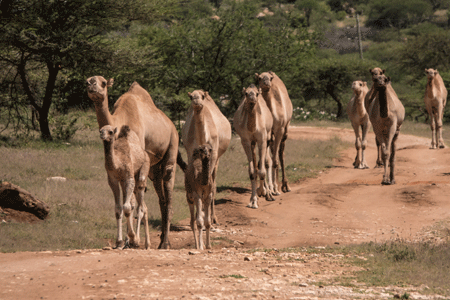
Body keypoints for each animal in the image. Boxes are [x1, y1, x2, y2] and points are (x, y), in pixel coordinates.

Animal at [86, 76, 179, 250]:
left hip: (172, 148)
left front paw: (132, 240)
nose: (91, 85)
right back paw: (161, 240)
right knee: (161, 198)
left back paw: (165, 243)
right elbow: (125, 202)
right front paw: (125, 241)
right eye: (87, 81)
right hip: (154, 169)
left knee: (168, 195)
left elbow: (132, 203)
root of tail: (172, 125)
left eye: (103, 83)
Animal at [182, 89, 232, 225]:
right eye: (191, 97)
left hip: (217, 158)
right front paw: (198, 216)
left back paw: (213, 217)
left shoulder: (213, 154)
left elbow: (211, 186)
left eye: (202, 96)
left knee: (214, 183)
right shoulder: (190, 153)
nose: (196, 101)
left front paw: (208, 217)